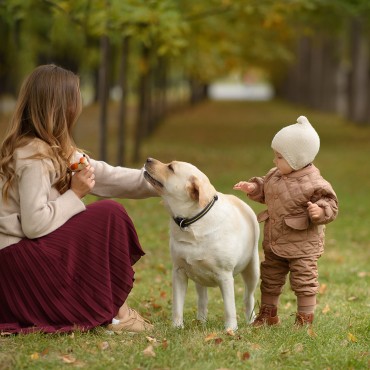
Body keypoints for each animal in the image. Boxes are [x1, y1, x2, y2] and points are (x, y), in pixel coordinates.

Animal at [143, 158, 258, 330]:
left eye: (171, 167)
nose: (148, 159)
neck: (192, 222)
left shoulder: (225, 276)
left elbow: (229, 307)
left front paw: (231, 329)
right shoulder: (178, 272)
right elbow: (177, 305)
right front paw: (177, 327)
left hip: (253, 270)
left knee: (248, 297)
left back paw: (251, 320)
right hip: (198, 276)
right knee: (202, 299)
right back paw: (201, 321)